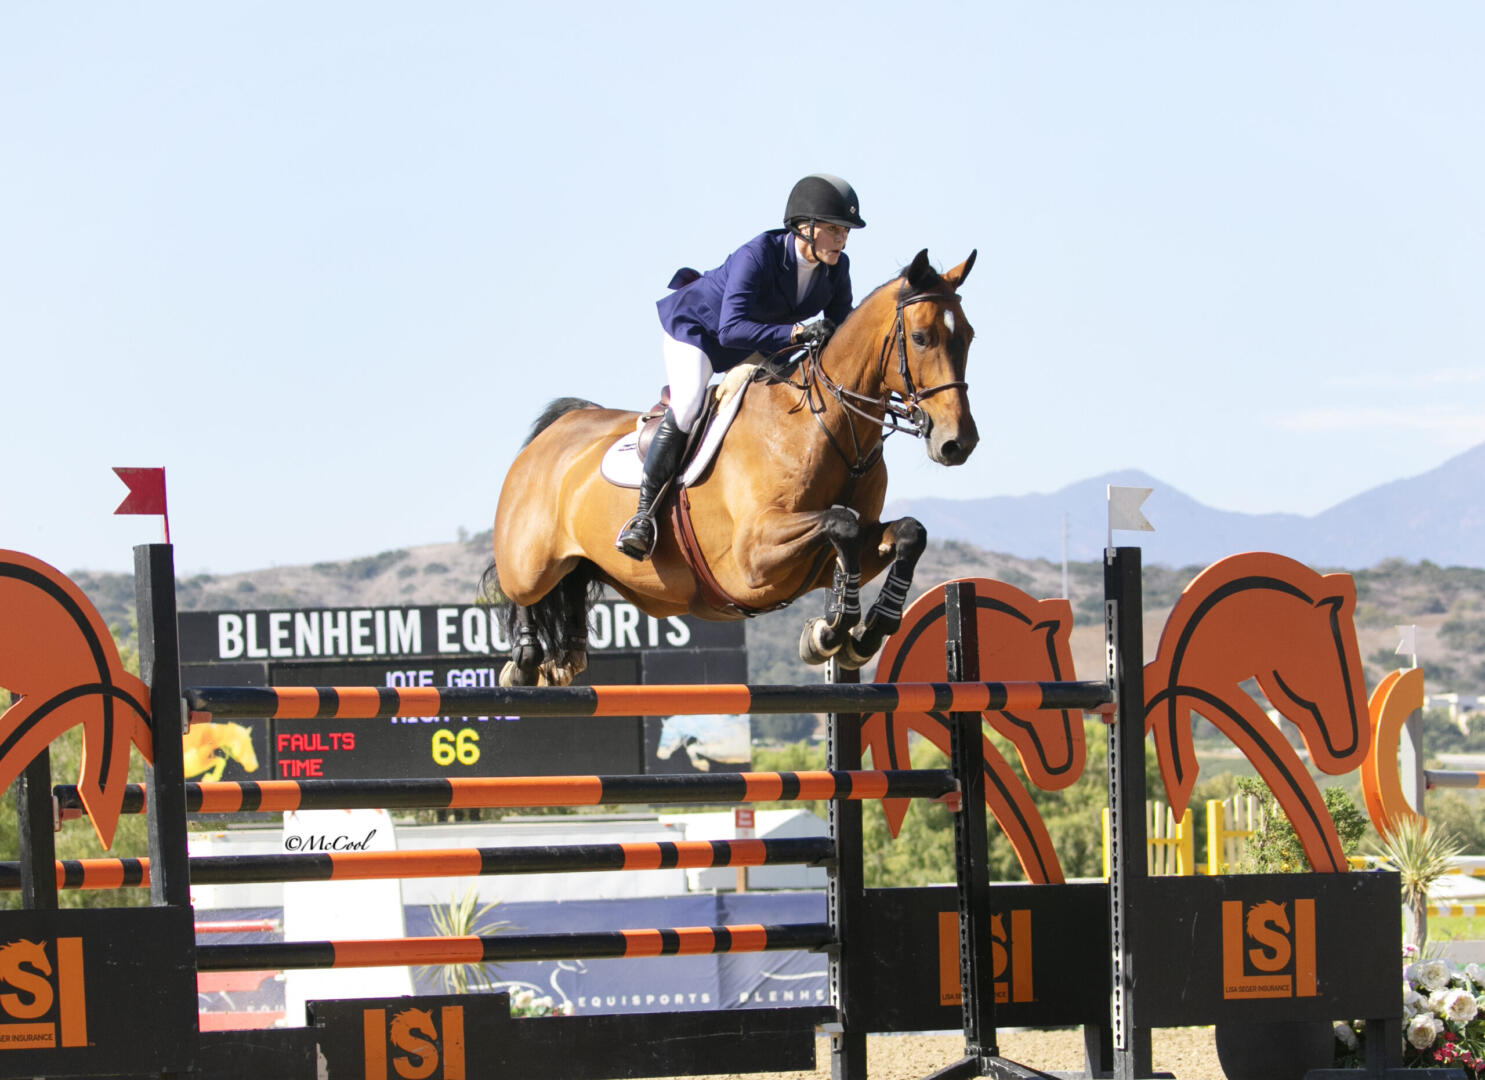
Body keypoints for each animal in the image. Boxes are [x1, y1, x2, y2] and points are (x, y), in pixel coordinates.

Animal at [484, 248, 974, 683]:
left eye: (968, 336)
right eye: (921, 338)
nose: (958, 443)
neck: (828, 428)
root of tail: (557, 429)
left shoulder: (827, 553)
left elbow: (907, 533)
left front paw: (864, 631)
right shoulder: (754, 556)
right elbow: (842, 525)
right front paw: (833, 629)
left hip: (588, 564)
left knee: (569, 595)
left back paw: (565, 657)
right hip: (532, 564)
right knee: (520, 591)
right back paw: (525, 660)